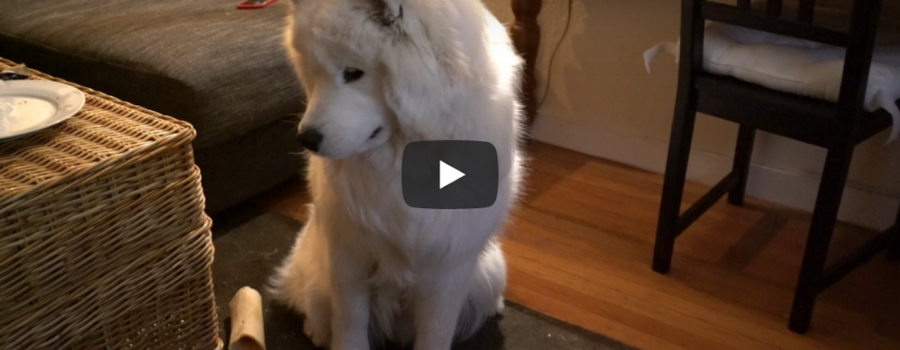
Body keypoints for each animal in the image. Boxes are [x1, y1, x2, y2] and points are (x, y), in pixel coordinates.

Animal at [272, 0, 528, 348]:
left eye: (353, 73)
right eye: (312, 72)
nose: (306, 139)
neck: (401, 159)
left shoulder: (448, 269)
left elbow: (436, 332)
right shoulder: (348, 255)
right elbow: (349, 321)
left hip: (490, 272)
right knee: (315, 306)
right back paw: (316, 329)